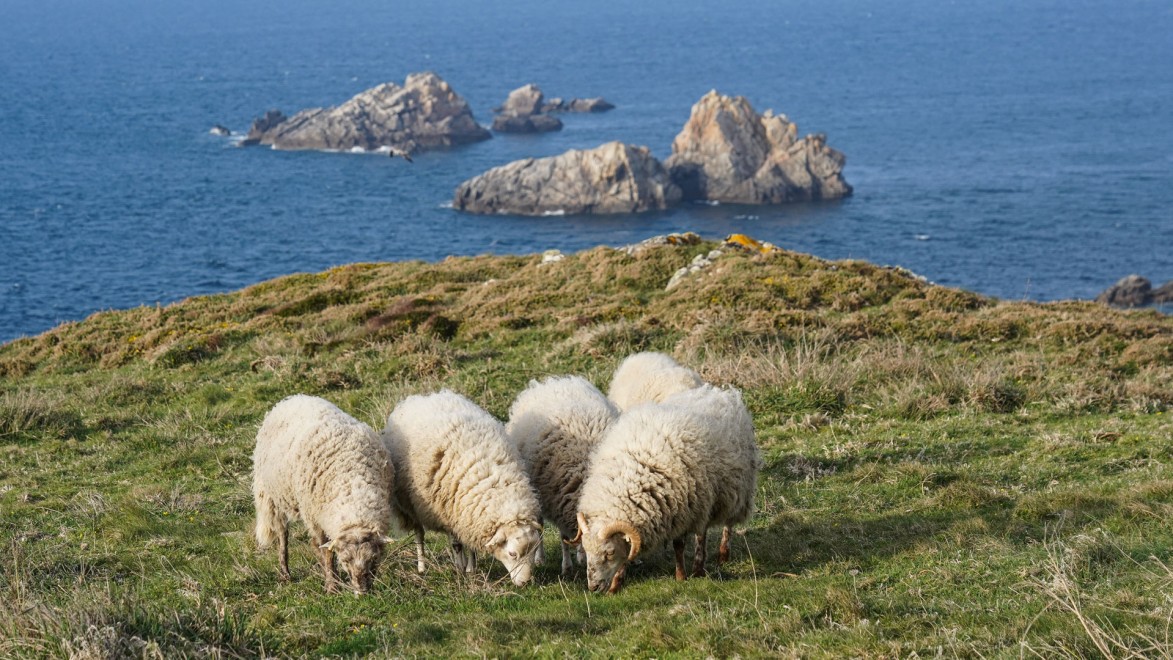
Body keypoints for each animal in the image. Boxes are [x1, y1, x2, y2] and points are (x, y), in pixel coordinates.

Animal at [252, 395, 395, 595]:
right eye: (345, 560)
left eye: (373, 559)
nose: (362, 592)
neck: (351, 486)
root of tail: (292, 398)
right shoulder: (315, 517)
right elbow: (326, 552)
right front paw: (332, 586)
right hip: (275, 497)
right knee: (283, 535)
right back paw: (285, 572)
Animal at [381, 389, 543, 586]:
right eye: (512, 554)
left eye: (534, 550)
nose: (526, 583)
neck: (490, 479)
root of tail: (425, 396)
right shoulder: (449, 513)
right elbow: (456, 544)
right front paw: (461, 570)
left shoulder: (468, 517)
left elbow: (469, 544)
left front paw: (471, 569)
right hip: (410, 504)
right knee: (419, 534)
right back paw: (422, 566)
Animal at [505, 376, 619, 574]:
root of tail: (553, 382)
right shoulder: (558, 500)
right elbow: (563, 538)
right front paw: (567, 566)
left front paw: (580, 556)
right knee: (539, 527)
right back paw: (540, 558)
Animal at [572, 384, 761, 594]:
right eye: (586, 550)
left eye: (609, 552)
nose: (593, 587)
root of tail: (720, 392)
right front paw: (615, 585)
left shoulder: (683, 510)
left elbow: (678, 545)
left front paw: (681, 576)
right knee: (703, 530)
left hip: (731, 490)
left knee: (723, 525)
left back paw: (715, 559)